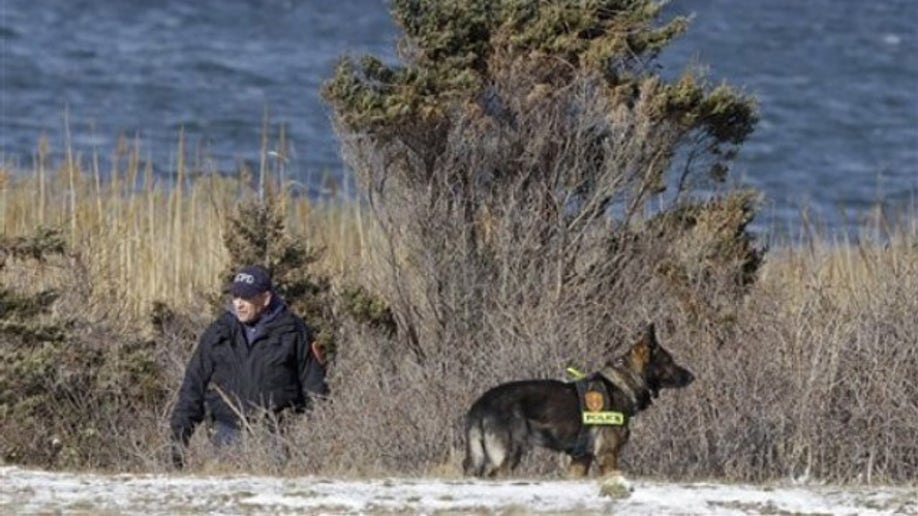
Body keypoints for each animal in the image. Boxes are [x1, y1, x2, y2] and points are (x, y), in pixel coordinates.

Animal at [464, 324, 692, 486]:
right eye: (669, 361)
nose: (693, 376)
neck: (624, 382)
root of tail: (481, 403)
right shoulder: (608, 456)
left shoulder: (580, 461)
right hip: (508, 457)